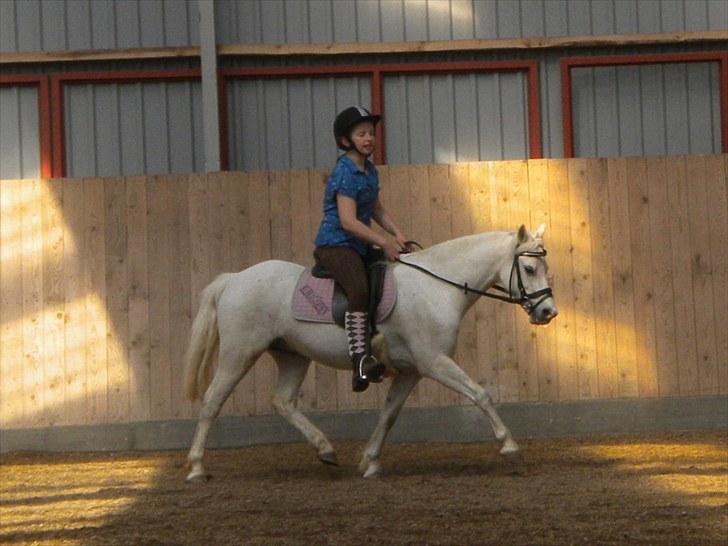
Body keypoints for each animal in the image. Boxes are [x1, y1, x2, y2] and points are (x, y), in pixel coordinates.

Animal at [183, 224, 557, 481]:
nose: (547, 312)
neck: (437, 286)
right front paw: (509, 447)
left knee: (283, 401)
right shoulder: (434, 362)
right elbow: (481, 395)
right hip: (239, 354)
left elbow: (389, 414)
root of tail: (234, 279)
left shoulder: (411, 371)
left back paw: (325, 449)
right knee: (212, 401)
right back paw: (197, 467)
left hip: (293, 355)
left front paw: (370, 461)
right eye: (528, 269)